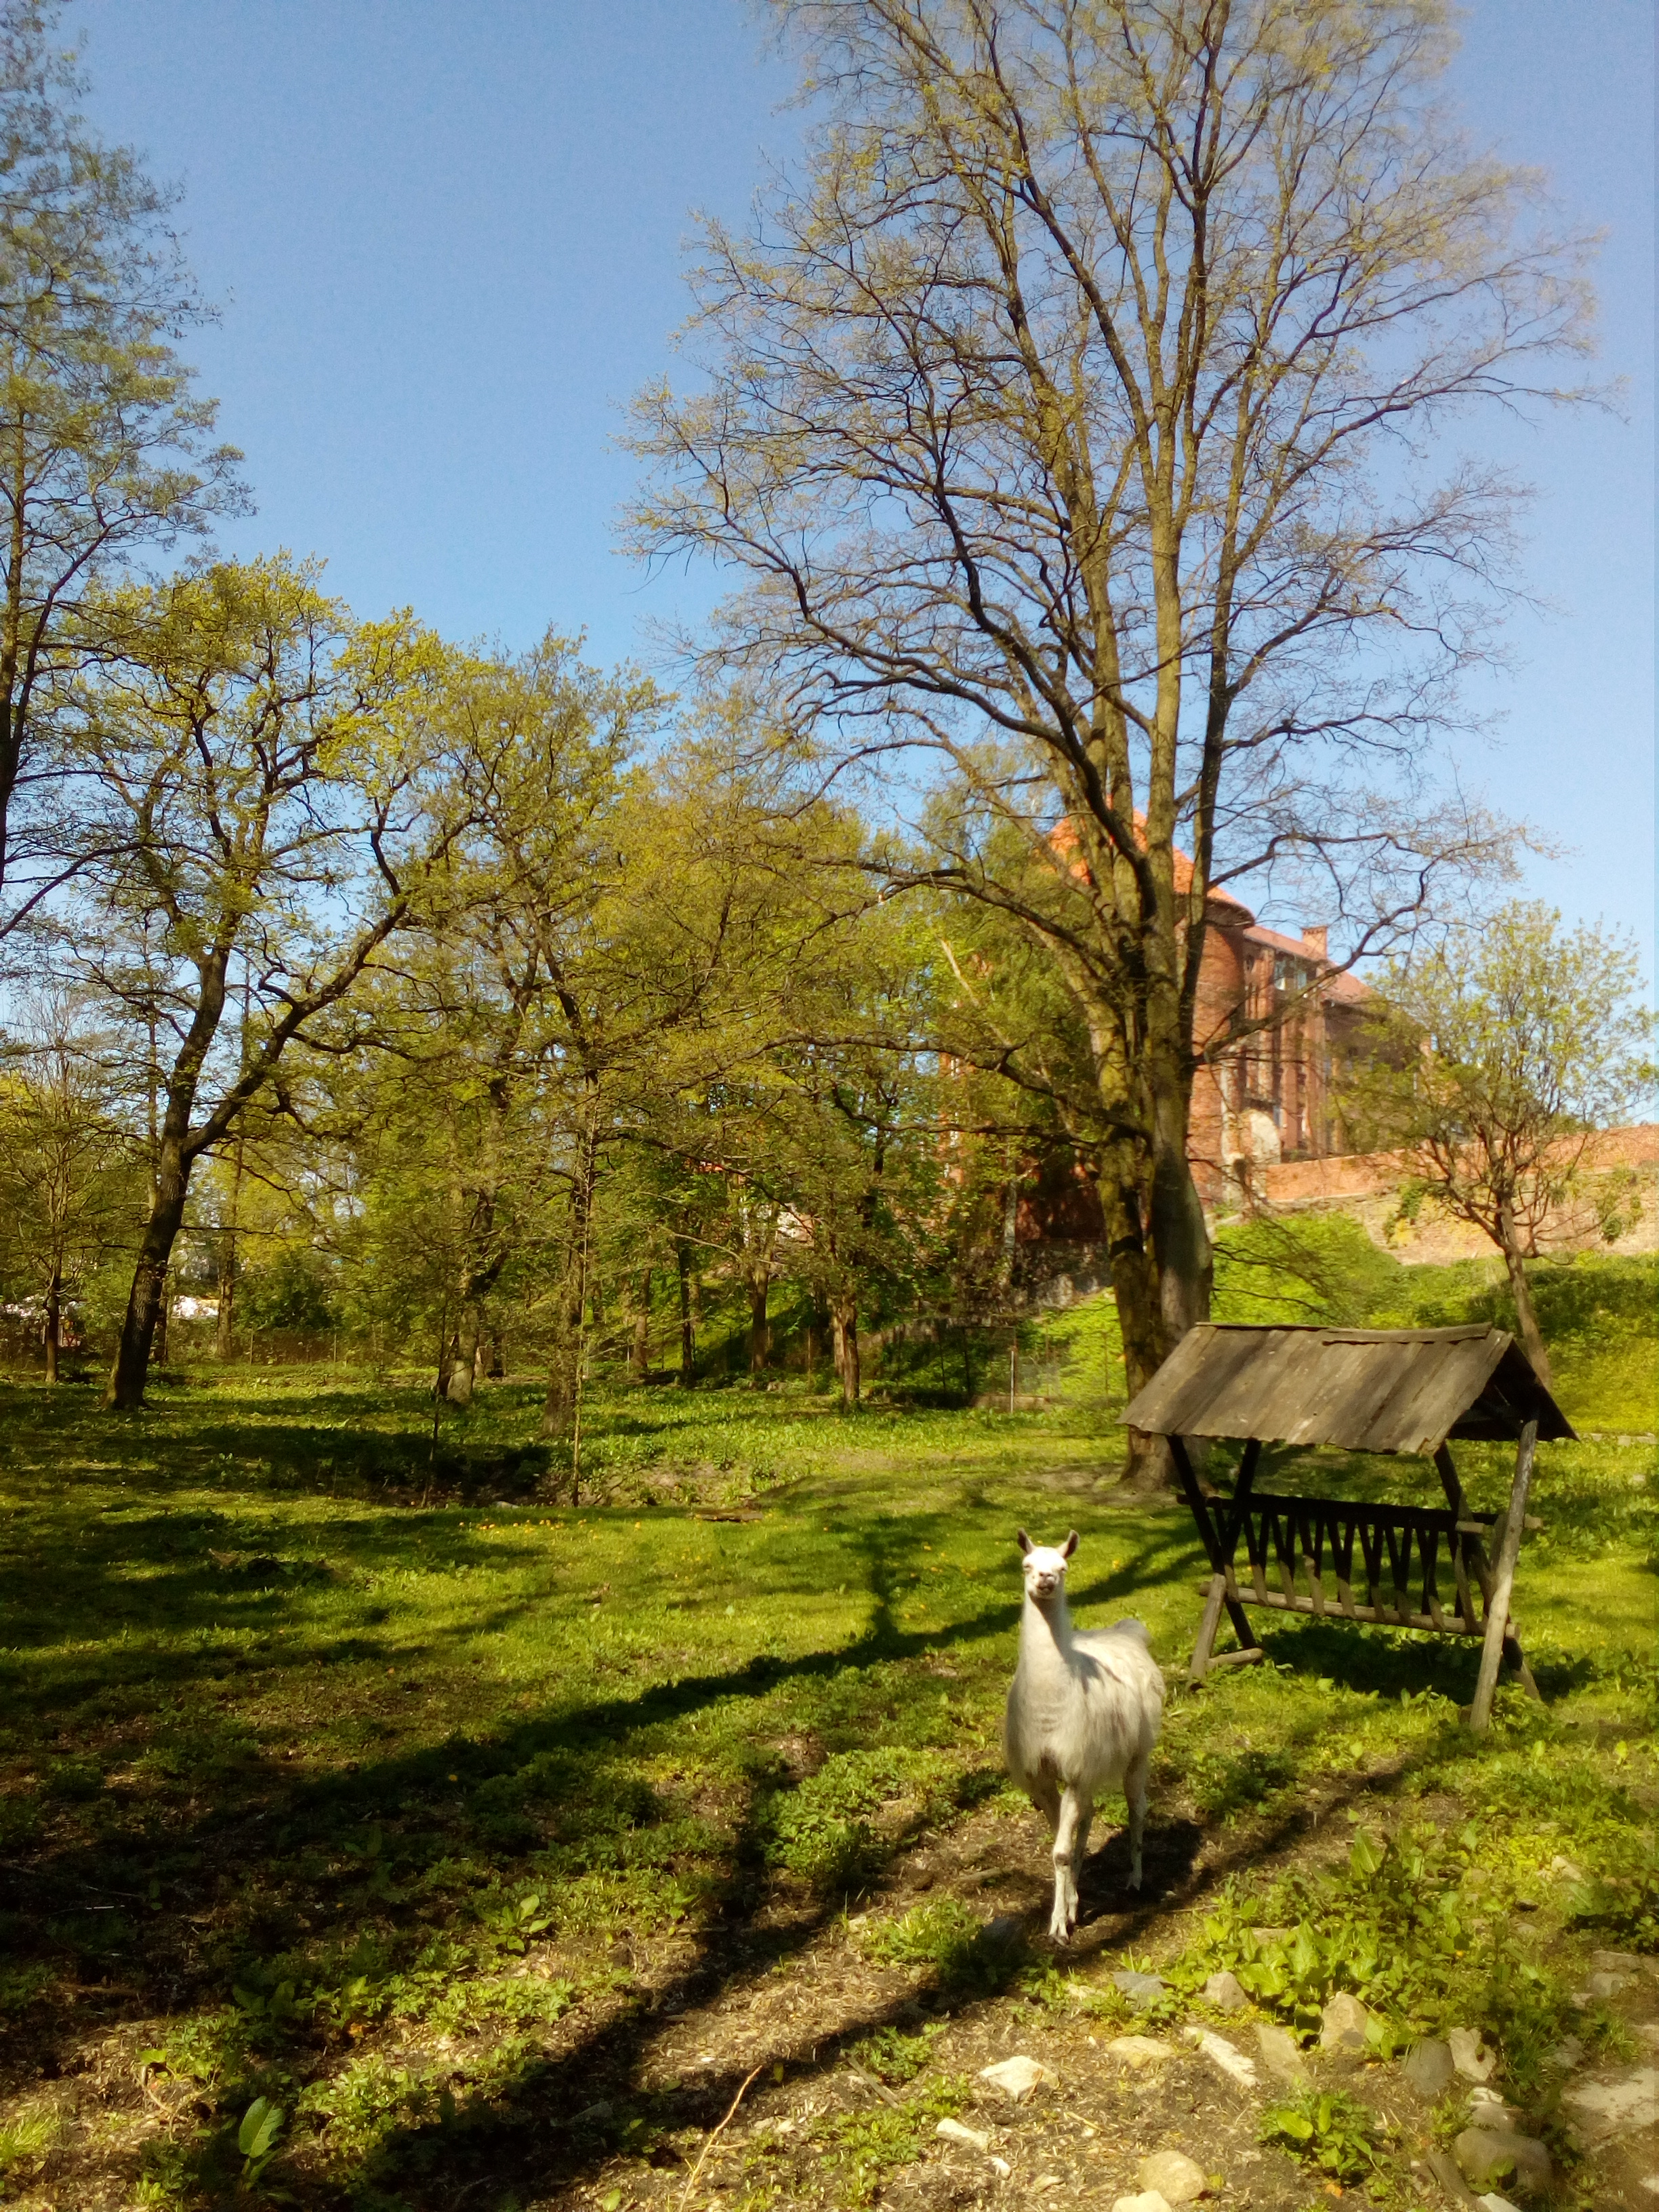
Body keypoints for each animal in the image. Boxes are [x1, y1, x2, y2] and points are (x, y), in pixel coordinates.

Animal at [1002, 1527, 1164, 1943]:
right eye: (1026, 1565)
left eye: (1063, 1567)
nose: (1045, 1580)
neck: (1048, 1712)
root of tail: (1127, 1632)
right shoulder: (1042, 1774)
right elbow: (1061, 1840)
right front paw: (1069, 1905)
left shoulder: (1074, 1768)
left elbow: (1060, 1849)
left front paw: (1059, 1926)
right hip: (1093, 1762)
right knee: (1089, 1815)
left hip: (1138, 1751)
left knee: (1137, 1808)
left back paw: (1135, 1880)